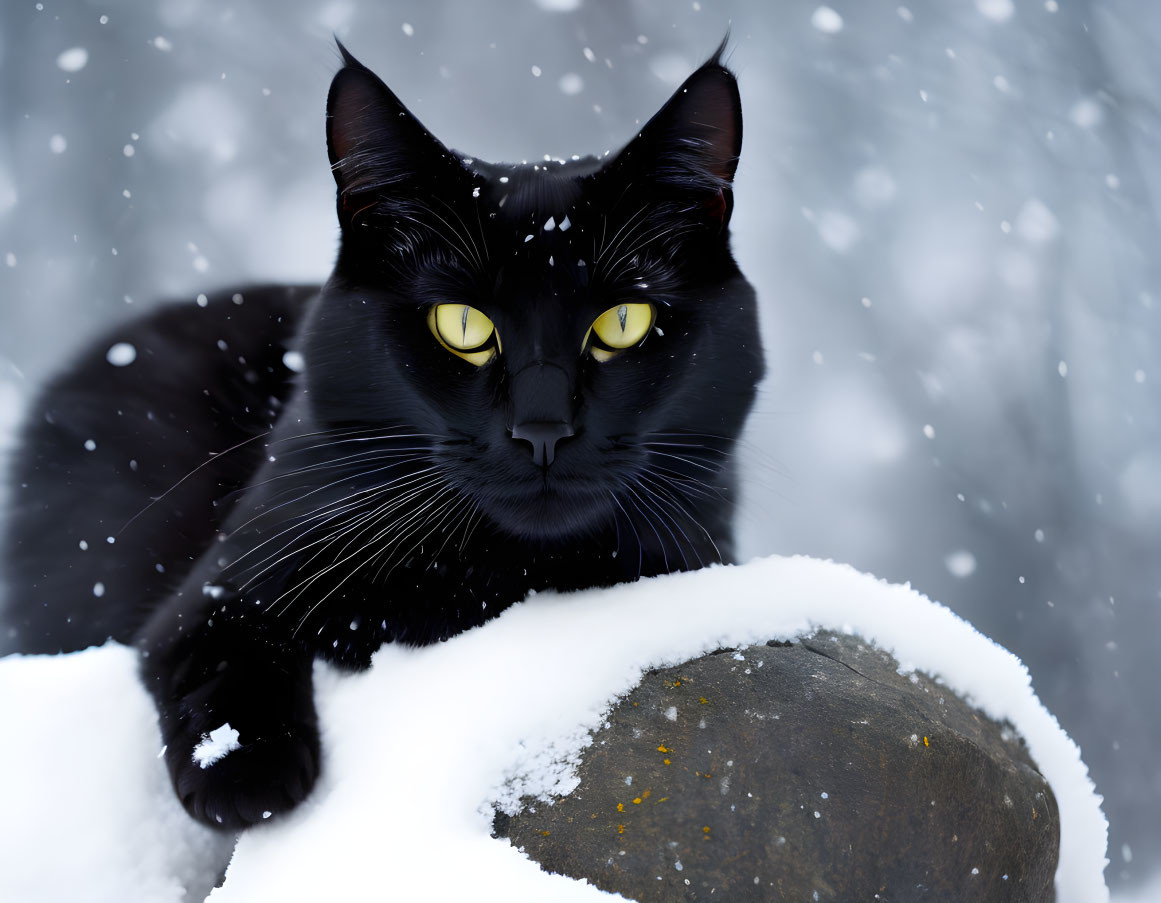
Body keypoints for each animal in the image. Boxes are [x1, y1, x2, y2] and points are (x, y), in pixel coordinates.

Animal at [2, 44, 761, 831]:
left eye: (623, 323)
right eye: (461, 326)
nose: (542, 429)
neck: (492, 571)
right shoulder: (221, 580)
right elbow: (210, 644)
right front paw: (244, 775)